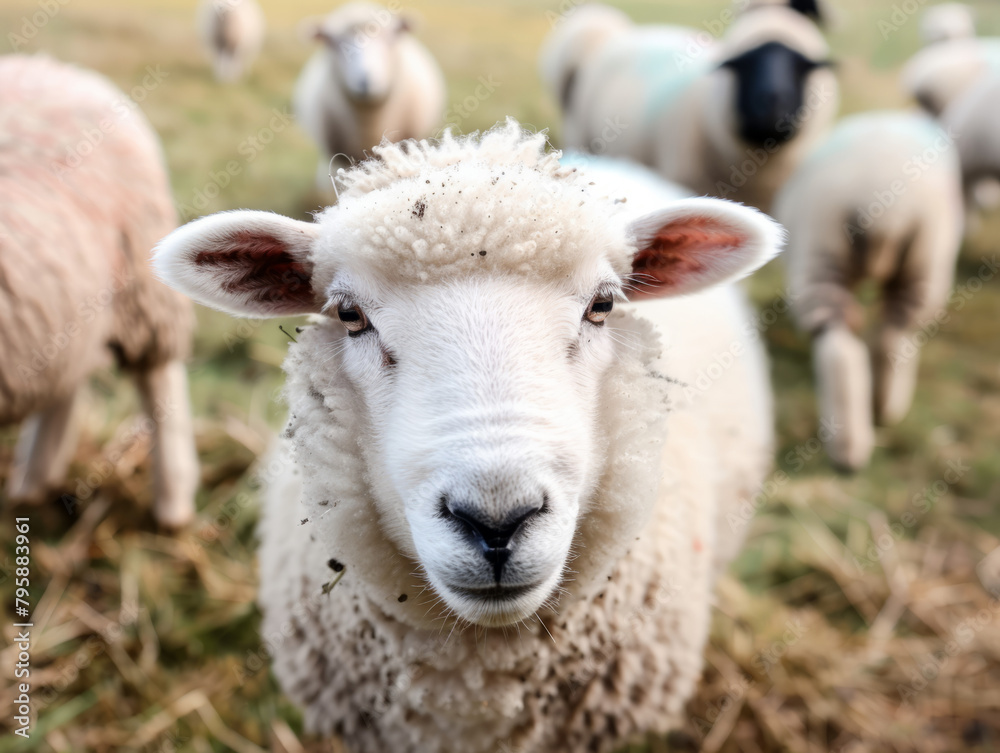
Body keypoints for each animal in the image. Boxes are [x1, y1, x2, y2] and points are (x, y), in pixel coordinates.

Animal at [0, 55, 198, 528]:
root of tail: (64, 70)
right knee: (65, 378)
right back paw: (32, 484)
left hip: (142, 284)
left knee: (160, 381)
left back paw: (172, 508)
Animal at [775, 112, 963, 471]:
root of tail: (885, 211)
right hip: (919, 260)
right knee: (882, 339)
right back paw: (874, 420)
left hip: (825, 256)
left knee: (852, 345)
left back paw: (856, 438)